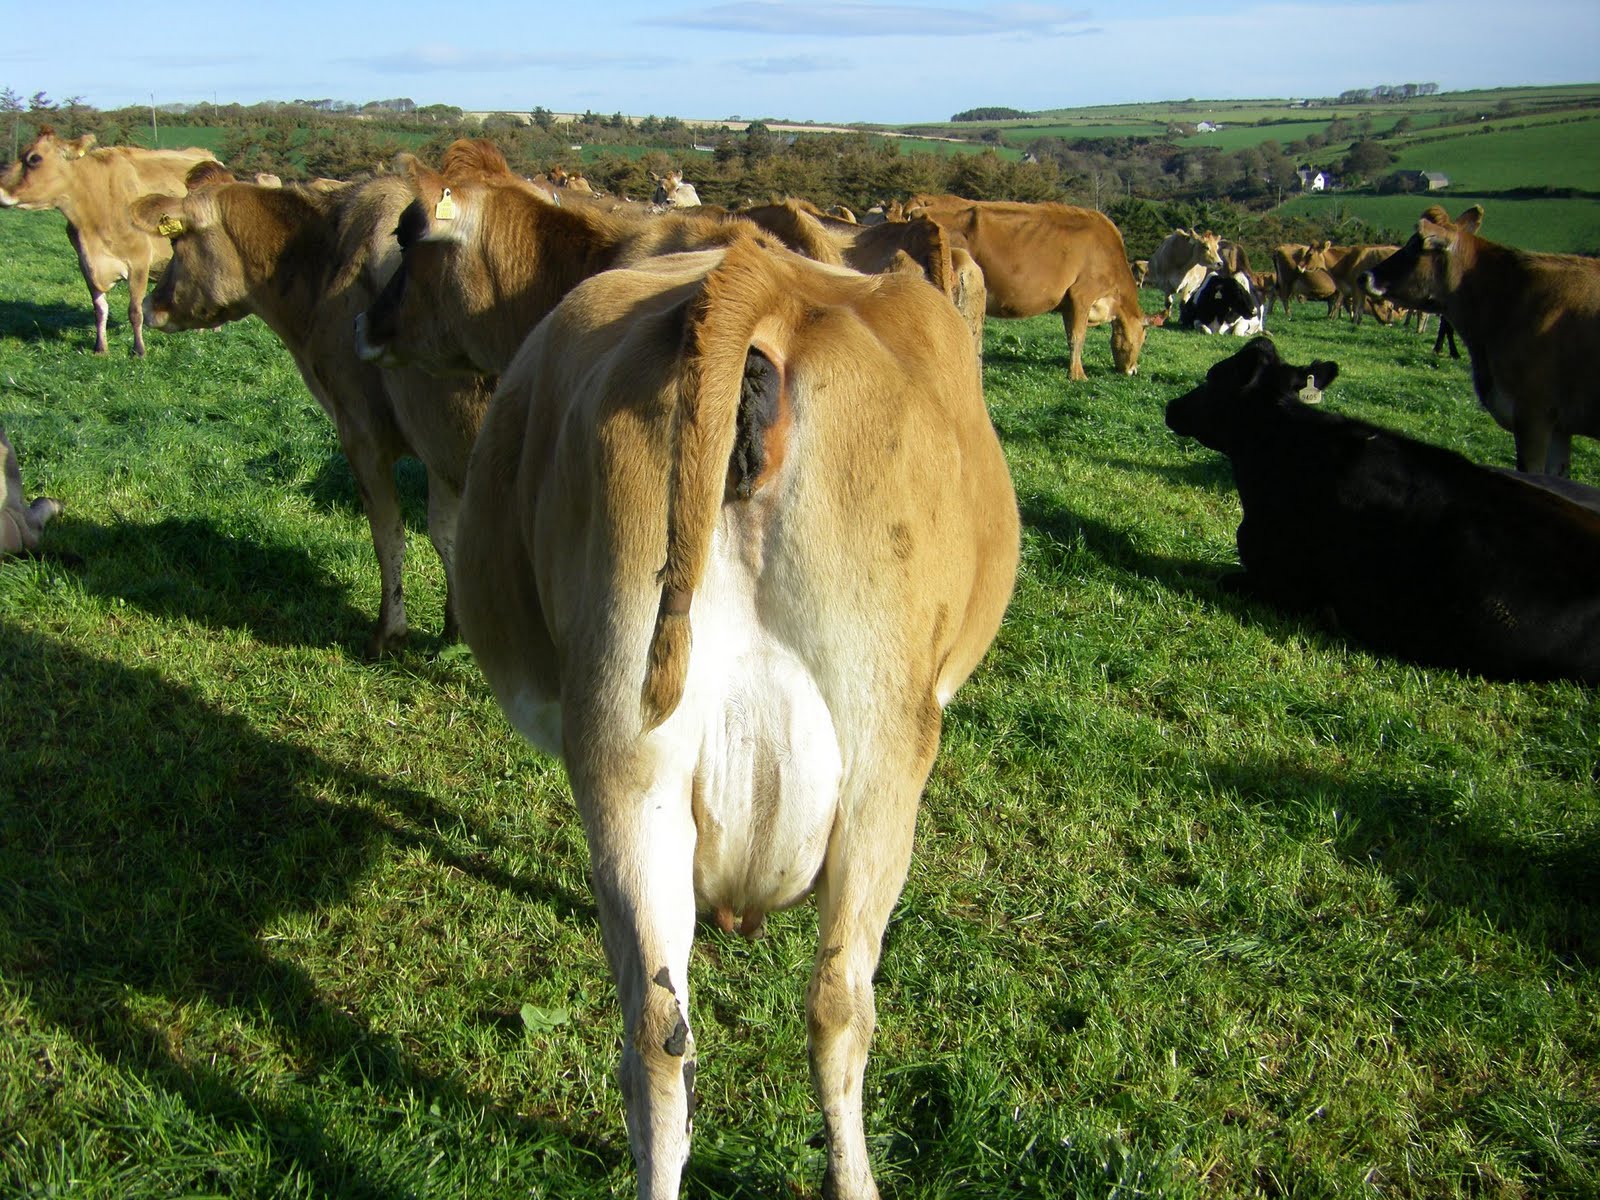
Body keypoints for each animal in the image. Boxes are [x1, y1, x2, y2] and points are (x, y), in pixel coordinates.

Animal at [0, 128, 217, 355]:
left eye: (34, 158)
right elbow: (100, 309)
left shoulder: (139, 263)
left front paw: (139, 350)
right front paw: (100, 347)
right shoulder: (86, 264)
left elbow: (135, 311)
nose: (1, 189)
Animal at [131, 164, 492, 655]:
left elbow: (389, 534)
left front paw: (388, 632)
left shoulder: (361, 430)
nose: (152, 305)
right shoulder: (437, 443)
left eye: (176, 240)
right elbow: (445, 534)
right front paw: (455, 629)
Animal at [904, 194, 1148, 380]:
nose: (1133, 370)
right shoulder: (1083, 295)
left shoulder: (1069, 303)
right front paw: (1078, 375)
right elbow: (1077, 337)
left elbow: (1070, 334)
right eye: (1144, 337)